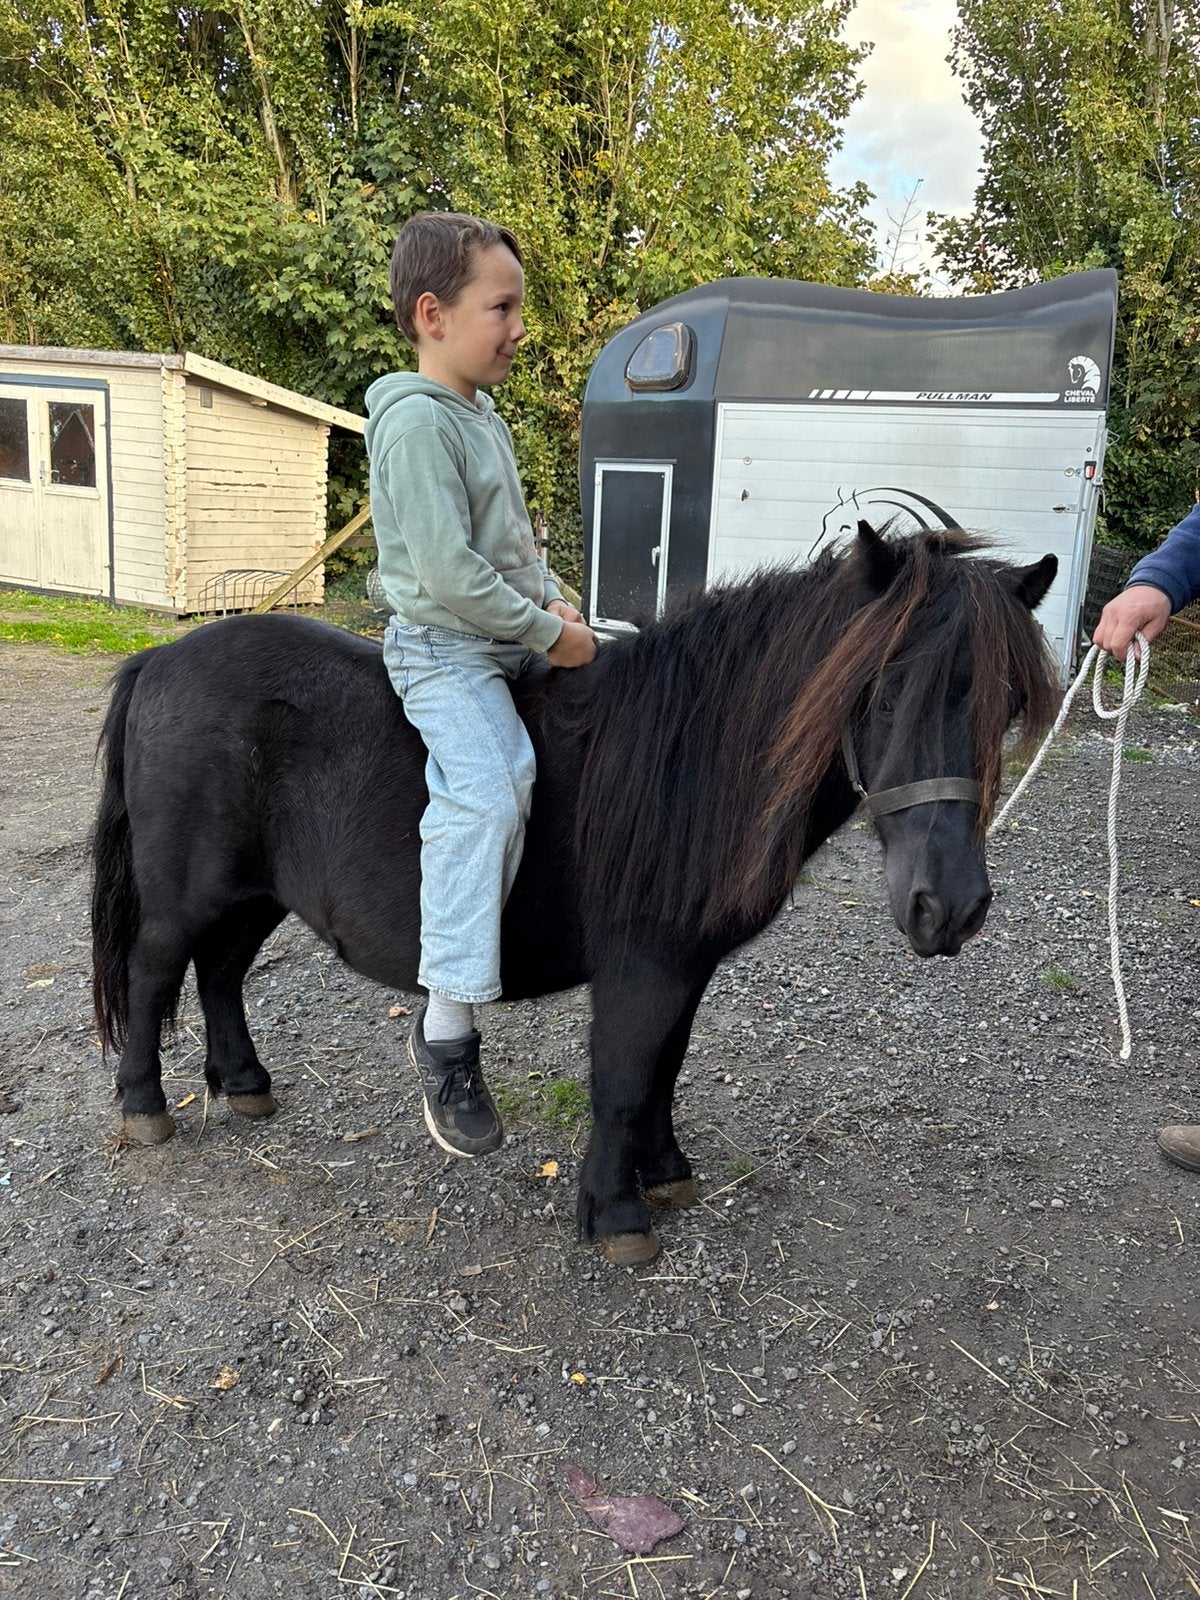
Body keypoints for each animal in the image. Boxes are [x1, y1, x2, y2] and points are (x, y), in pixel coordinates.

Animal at [91, 523, 1059, 1265]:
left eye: (1009, 702)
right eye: (886, 687)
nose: (950, 907)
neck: (690, 759)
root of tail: (162, 656)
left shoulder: (682, 969)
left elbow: (664, 1071)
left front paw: (664, 1172)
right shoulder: (642, 967)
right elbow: (623, 1081)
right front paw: (616, 1213)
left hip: (252, 894)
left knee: (221, 972)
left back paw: (243, 1083)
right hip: (187, 894)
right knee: (153, 972)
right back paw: (143, 1107)